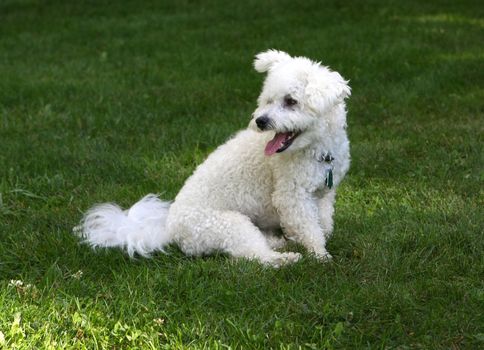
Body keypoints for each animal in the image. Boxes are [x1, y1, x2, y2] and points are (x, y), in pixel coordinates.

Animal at [73, 49, 350, 266]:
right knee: (252, 255)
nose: (260, 121)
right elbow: (309, 228)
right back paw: (284, 258)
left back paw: (278, 242)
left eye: (291, 101)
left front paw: (319, 239)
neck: (317, 150)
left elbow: (324, 223)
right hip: (229, 225)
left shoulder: (324, 193)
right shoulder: (292, 197)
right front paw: (320, 255)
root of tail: (171, 231)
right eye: (267, 100)